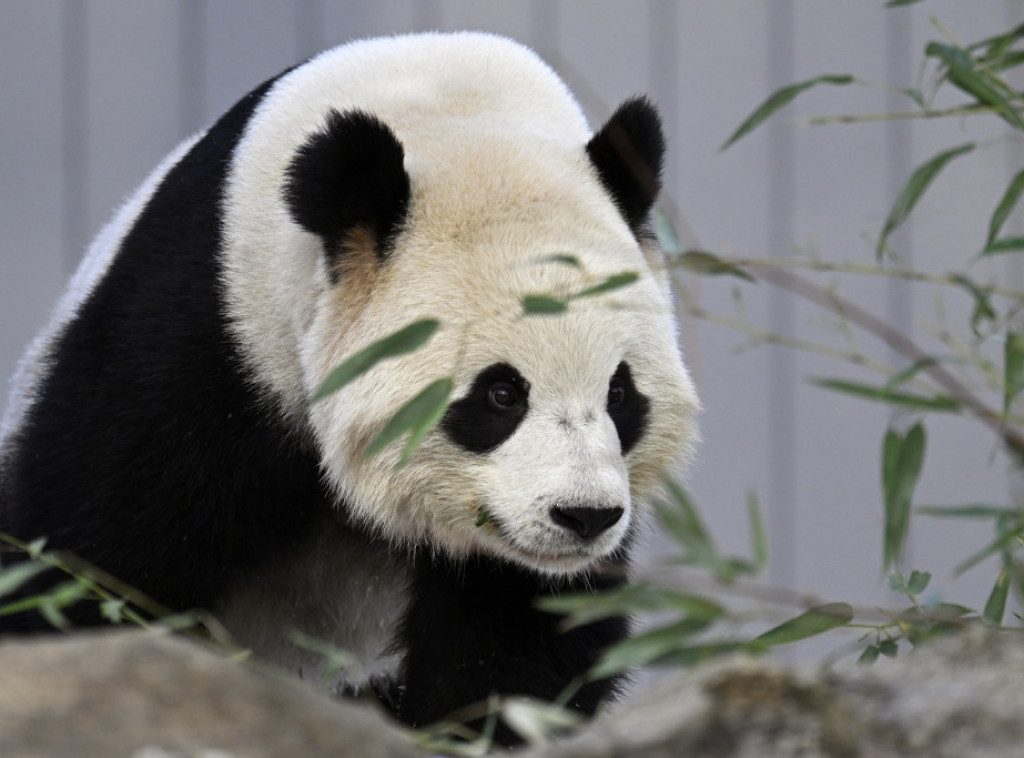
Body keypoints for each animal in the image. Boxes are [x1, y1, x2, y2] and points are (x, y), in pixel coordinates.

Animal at [0, 32, 698, 743]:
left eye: (620, 394)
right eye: (501, 394)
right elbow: (92, 553)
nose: (584, 517)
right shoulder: (209, 331)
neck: (448, 109)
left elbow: (518, 630)